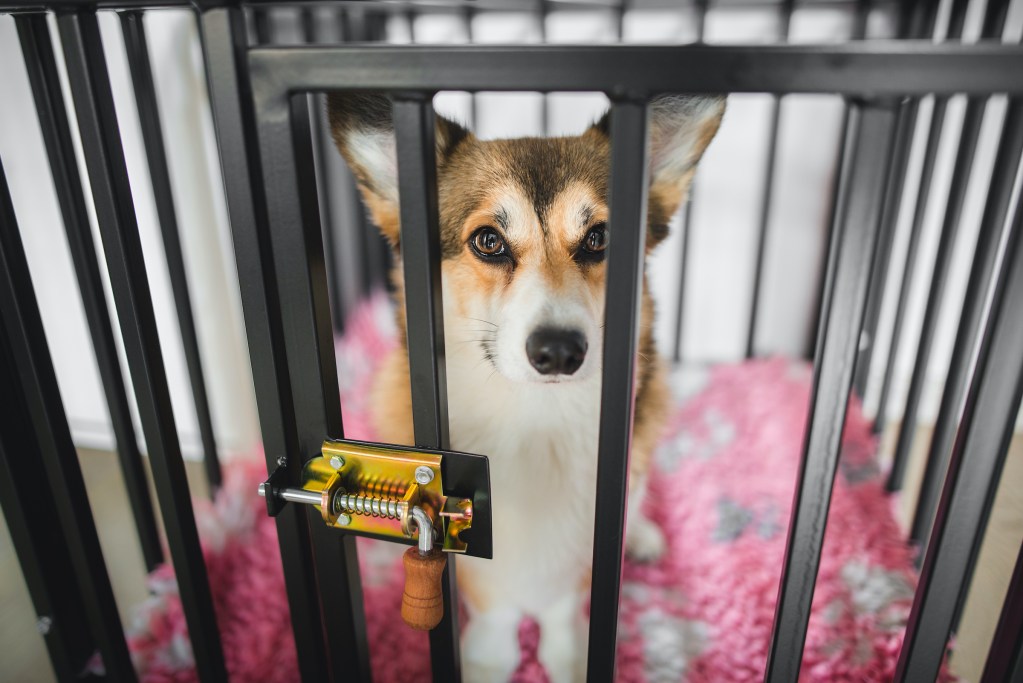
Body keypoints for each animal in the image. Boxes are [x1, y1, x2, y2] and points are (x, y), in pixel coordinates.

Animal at [327, 92, 720, 683]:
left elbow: (563, 602)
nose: (559, 351)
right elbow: (493, 604)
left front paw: (568, 654)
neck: (537, 419)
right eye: (488, 241)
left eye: (599, 238)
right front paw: (490, 657)